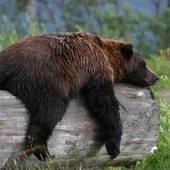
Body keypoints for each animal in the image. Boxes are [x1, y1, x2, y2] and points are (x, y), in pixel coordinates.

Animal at [0, 31, 159, 161]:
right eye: (143, 63)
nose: (156, 77)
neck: (107, 57)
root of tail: (6, 67)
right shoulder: (96, 69)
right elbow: (103, 102)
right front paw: (113, 148)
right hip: (44, 78)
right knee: (51, 109)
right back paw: (44, 152)